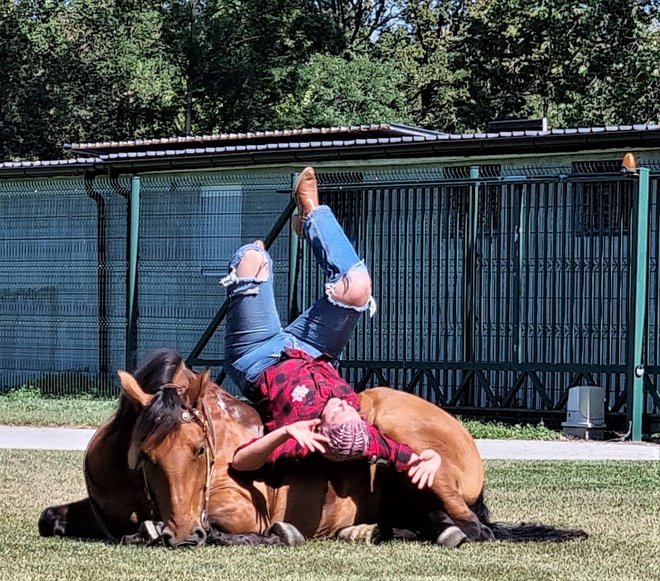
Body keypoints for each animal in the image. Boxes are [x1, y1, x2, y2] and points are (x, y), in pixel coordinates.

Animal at [40, 348, 588, 548]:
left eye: (199, 450)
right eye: (146, 457)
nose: (181, 534)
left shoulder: (242, 507)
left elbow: (229, 524)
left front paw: (277, 534)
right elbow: (52, 517)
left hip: (393, 421)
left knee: (473, 527)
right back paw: (368, 530)